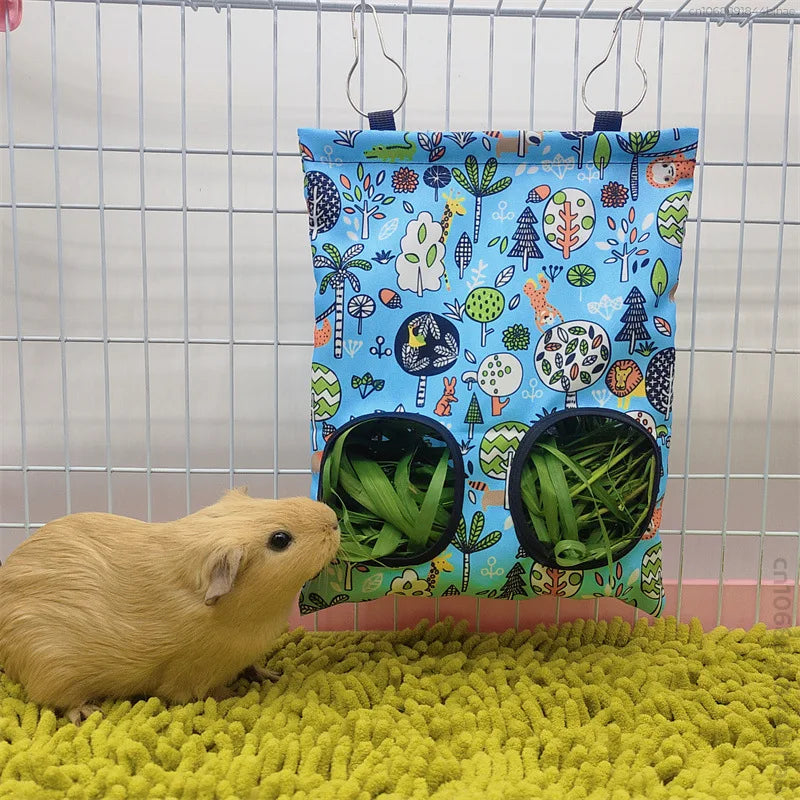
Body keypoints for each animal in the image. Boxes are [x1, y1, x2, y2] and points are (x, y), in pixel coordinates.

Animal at [0, 487, 340, 725]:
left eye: (265, 500)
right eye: (280, 539)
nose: (333, 520)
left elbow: (253, 665)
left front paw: (273, 675)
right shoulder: (192, 674)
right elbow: (203, 691)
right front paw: (235, 693)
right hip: (53, 671)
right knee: (60, 701)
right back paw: (88, 713)